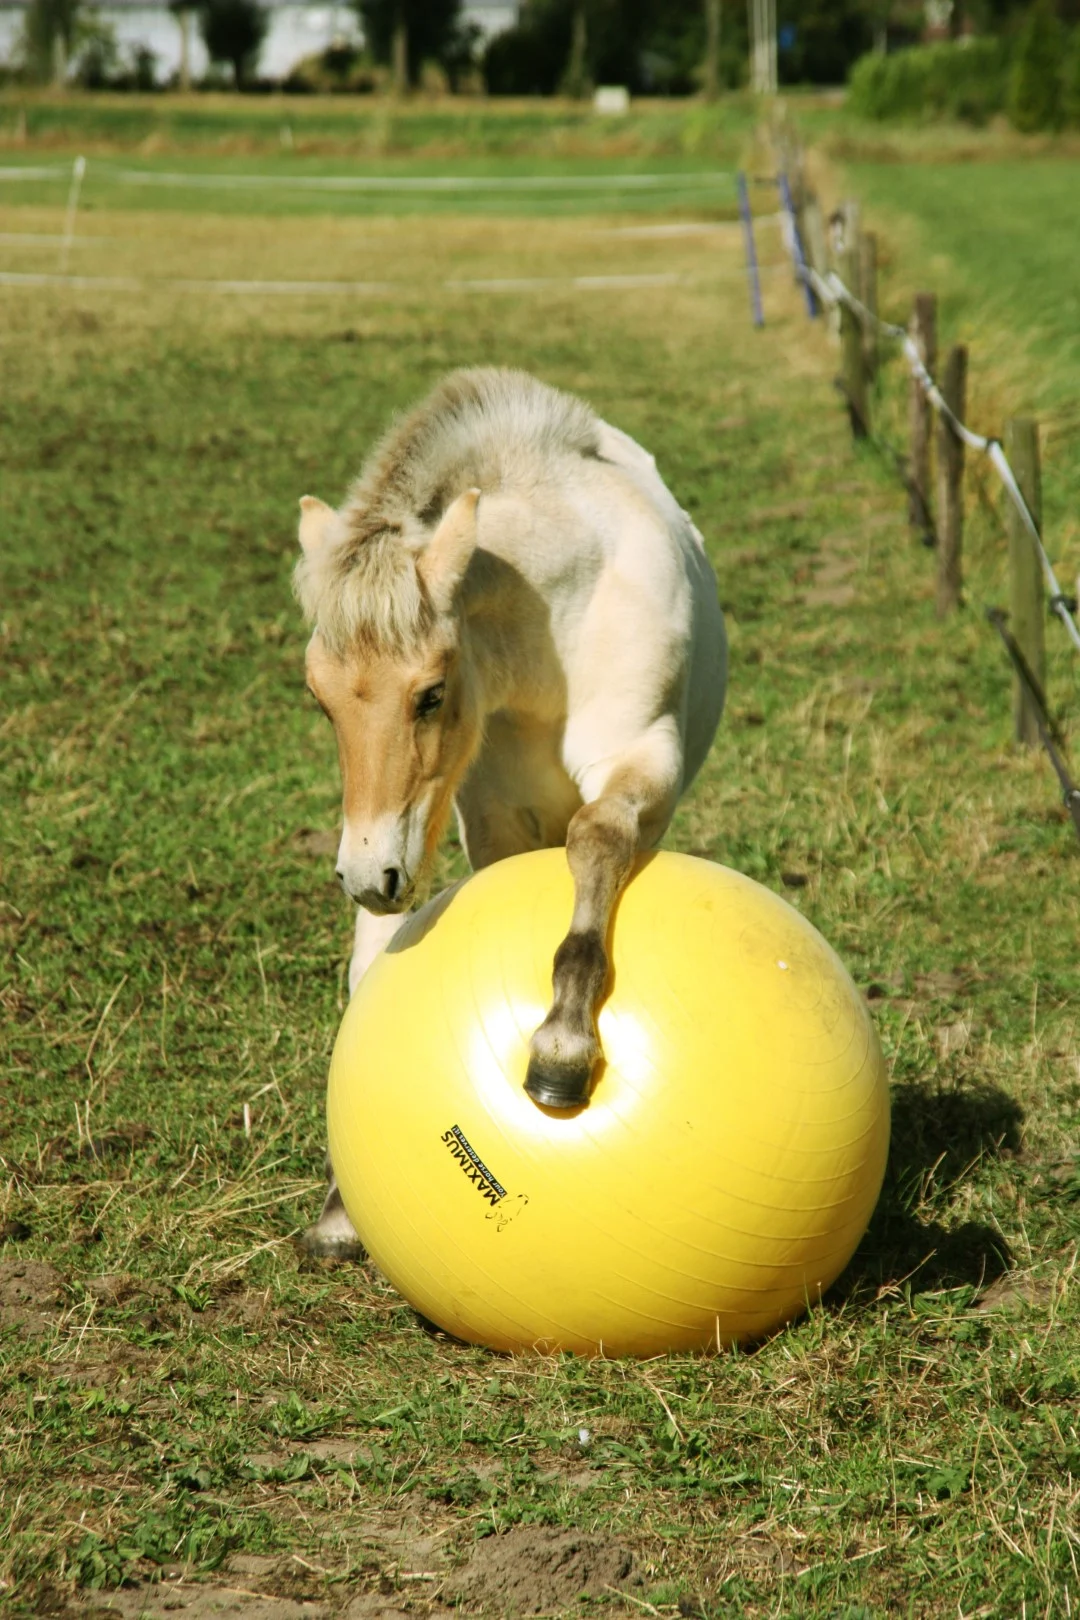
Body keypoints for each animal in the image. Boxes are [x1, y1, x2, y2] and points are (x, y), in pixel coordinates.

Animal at [293, 367, 727, 1258]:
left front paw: (561, 1054)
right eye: (319, 700)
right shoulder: (485, 815)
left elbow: (597, 839)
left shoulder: (643, 758)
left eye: (430, 693)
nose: (365, 873)